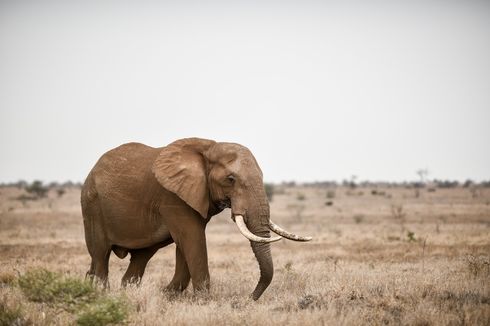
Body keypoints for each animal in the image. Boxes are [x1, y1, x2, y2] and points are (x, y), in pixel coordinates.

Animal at [80, 138, 310, 300]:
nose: (248, 298)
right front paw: (203, 300)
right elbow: (193, 240)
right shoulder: (173, 197)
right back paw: (100, 295)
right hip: (92, 205)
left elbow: (186, 246)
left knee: (140, 258)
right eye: (231, 179)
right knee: (100, 255)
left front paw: (168, 295)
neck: (209, 148)